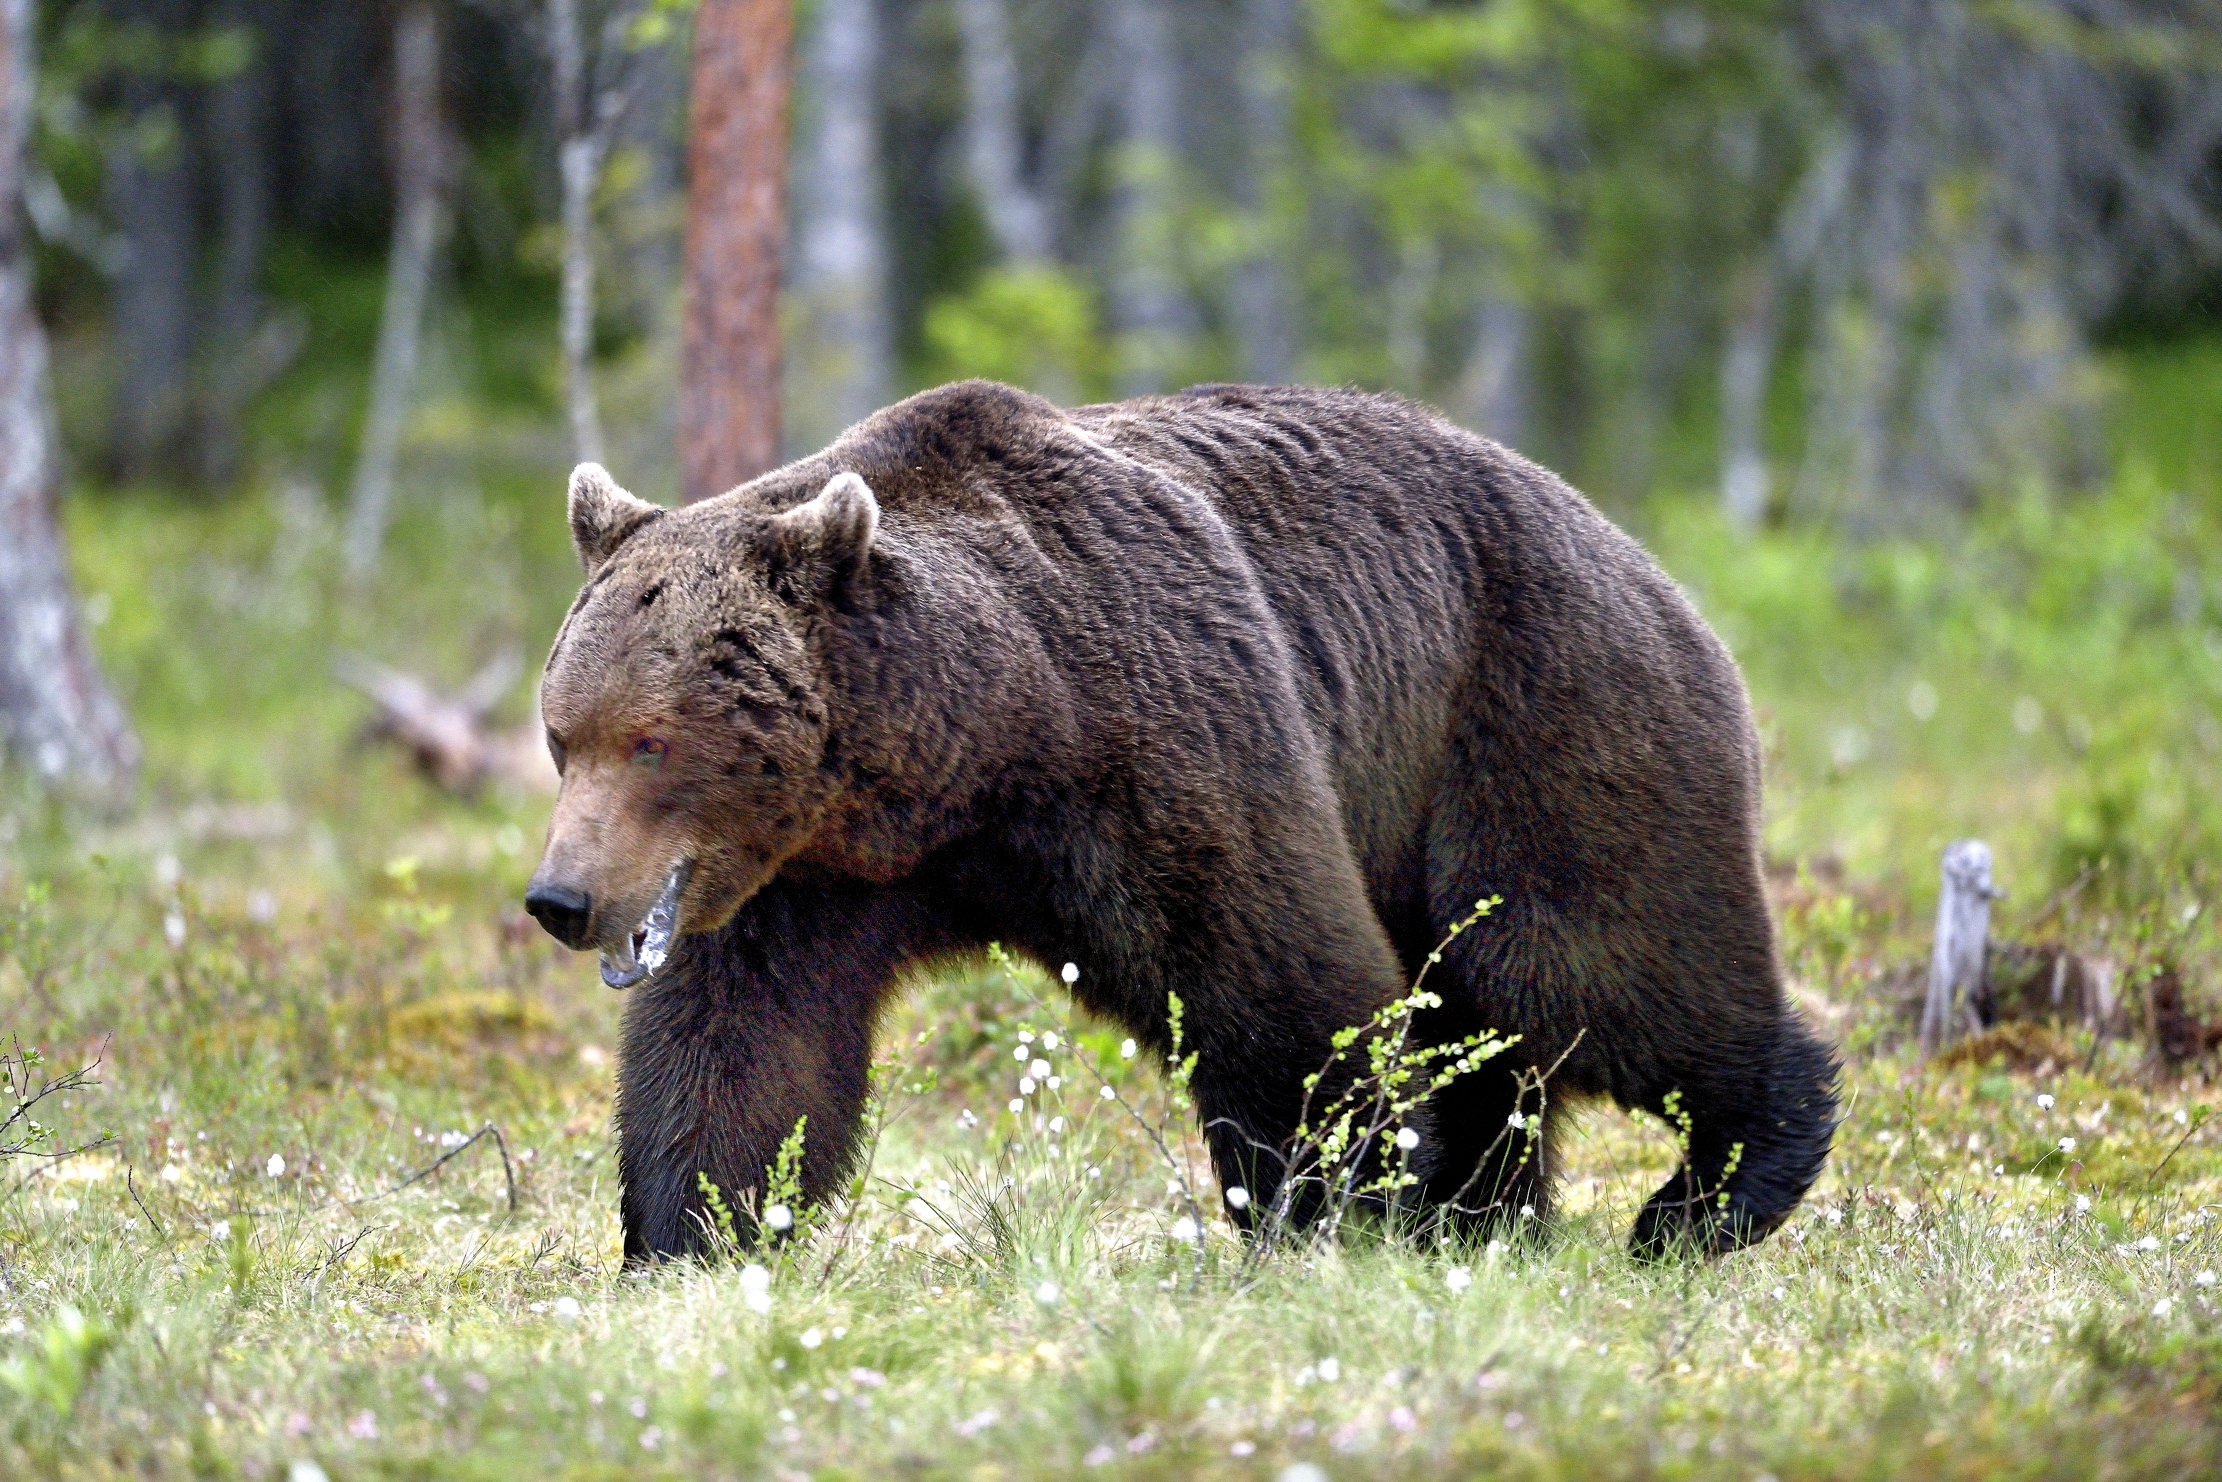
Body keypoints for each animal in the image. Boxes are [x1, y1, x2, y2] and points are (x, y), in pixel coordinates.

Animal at [523, 379, 1837, 1263]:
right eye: (562, 734)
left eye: (651, 739)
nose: (560, 899)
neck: (974, 742)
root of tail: (1647, 561)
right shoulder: (806, 870)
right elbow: (747, 1051)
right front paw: (686, 1236)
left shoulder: (1159, 741)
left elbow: (1281, 985)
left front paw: (1337, 1211)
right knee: (1488, 1027)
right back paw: (1483, 1218)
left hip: (1534, 713)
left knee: (1575, 957)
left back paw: (1709, 1191)